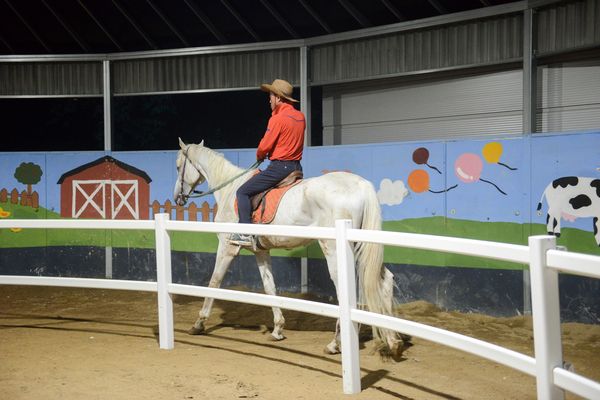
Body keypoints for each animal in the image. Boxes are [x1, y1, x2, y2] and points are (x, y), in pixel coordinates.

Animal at [173, 140, 408, 356]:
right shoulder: (261, 251)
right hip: (362, 247)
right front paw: (278, 329)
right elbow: (270, 287)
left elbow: (213, 282)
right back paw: (393, 341)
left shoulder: (227, 247)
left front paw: (198, 324)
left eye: (177, 167)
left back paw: (335, 344)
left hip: (336, 249)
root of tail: (361, 185)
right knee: (384, 280)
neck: (230, 190)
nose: (178, 198)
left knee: (345, 291)